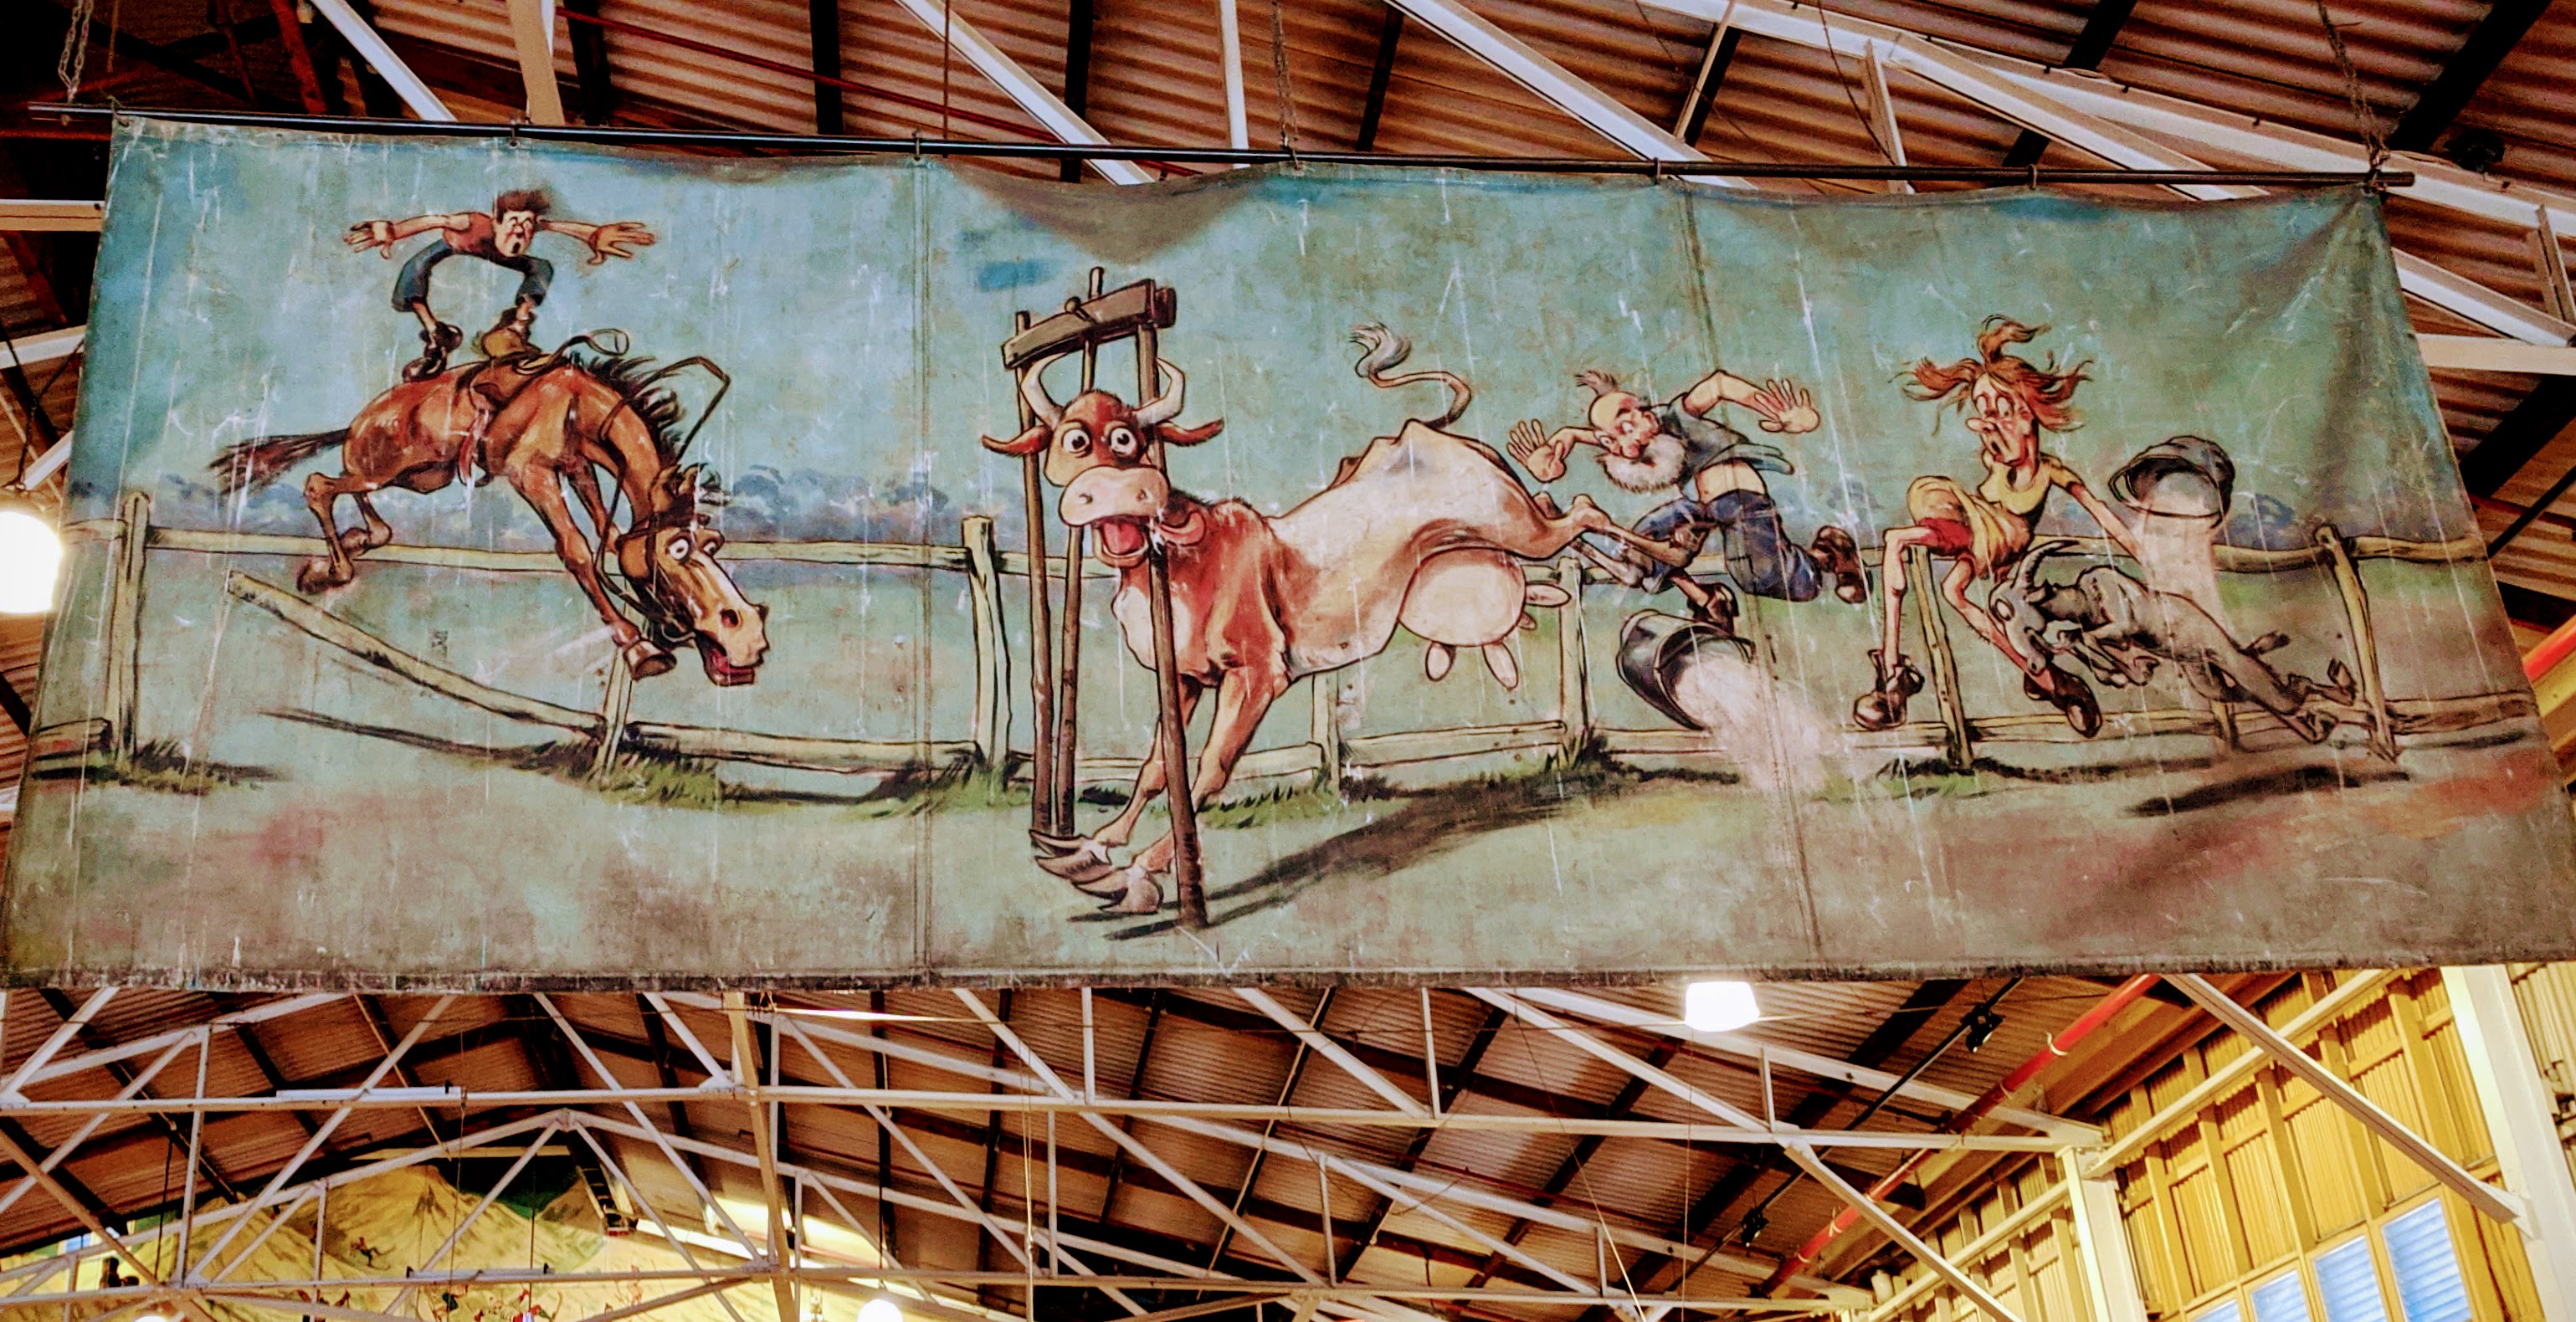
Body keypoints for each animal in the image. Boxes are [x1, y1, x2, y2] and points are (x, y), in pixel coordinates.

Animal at [218, 342, 762, 680]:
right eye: (678, 548)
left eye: (713, 543)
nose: (749, 635)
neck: (576, 406)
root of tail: (357, 421)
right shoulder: (532, 474)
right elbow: (577, 550)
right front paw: (640, 648)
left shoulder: (577, 466)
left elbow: (608, 538)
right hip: (388, 467)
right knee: (319, 485)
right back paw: (336, 566)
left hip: (420, 476)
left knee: (360, 504)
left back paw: (342, 554)